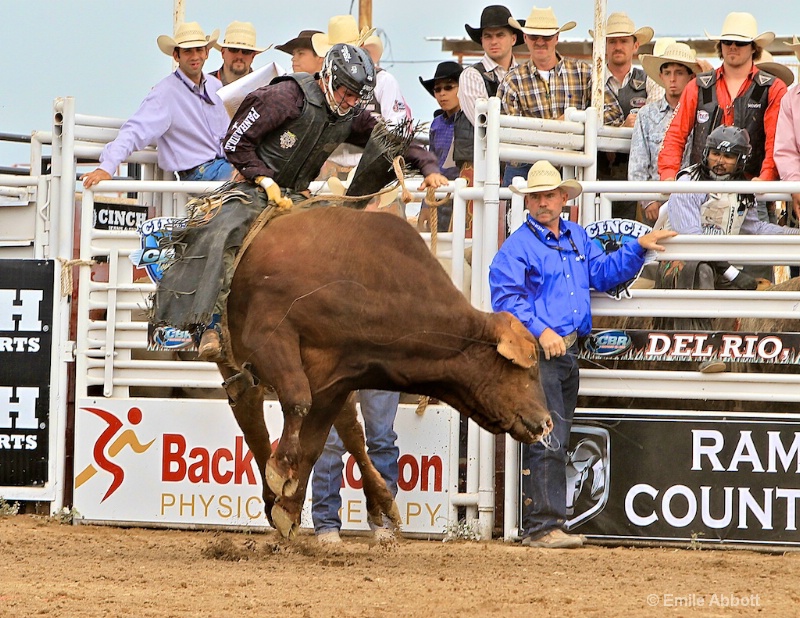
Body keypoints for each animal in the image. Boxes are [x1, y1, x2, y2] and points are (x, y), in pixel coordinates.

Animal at [212, 205, 552, 536]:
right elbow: (298, 401)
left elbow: (313, 444)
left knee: (270, 417)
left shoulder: (335, 381)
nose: (546, 422)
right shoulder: (267, 335)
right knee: (253, 417)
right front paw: (281, 472)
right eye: (529, 367)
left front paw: (287, 509)